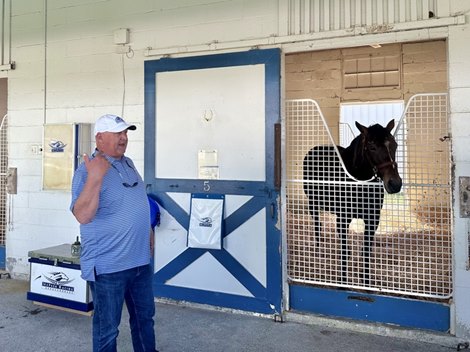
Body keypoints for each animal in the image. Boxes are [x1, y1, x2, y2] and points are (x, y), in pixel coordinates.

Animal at [302, 119, 402, 284]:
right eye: (372, 147)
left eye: (395, 144)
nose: (395, 184)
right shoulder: (342, 219)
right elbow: (343, 253)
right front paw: (343, 281)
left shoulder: (373, 219)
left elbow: (366, 251)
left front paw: (366, 281)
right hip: (313, 204)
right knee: (317, 225)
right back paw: (318, 251)